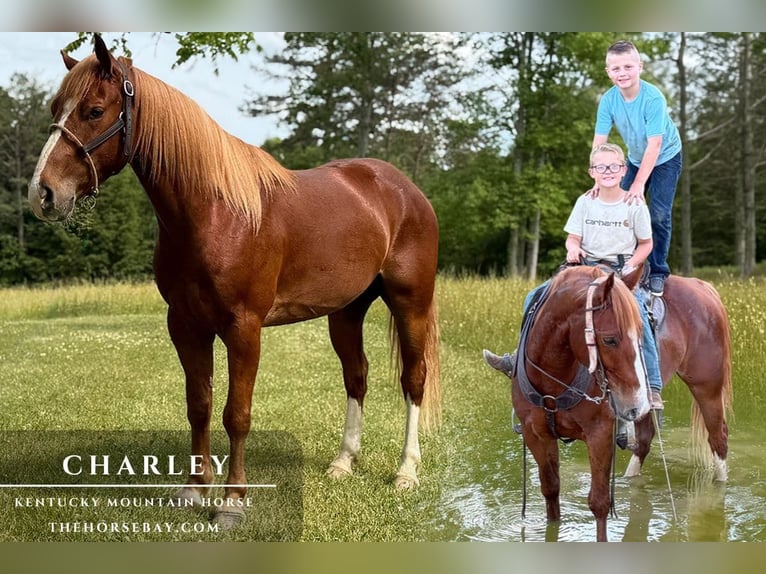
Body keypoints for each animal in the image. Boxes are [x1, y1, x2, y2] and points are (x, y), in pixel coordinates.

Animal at [27, 34, 441, 529]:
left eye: (93, 110)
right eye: (55, 107)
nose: (42, 193)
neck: (216, 214)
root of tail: (403, 188)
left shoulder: (244, 329)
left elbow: (236, 414)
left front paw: (232, 500)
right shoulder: (185, 325)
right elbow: (199, 405)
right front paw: (194, 489)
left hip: (410, 302)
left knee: (413, 379)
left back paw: (406, 472)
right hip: (346, 312)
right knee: (356, 376)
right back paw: (343, 463)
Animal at [505, 264, 731, 542]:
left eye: (642, 336)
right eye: (610, 339)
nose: (634, 401)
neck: (554, 379)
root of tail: (703, 286)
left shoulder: (600, 433)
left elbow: (600, 502)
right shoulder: (536, 434)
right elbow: (551, 491)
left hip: (706, 388)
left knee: (718, 437)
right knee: (644, 440)